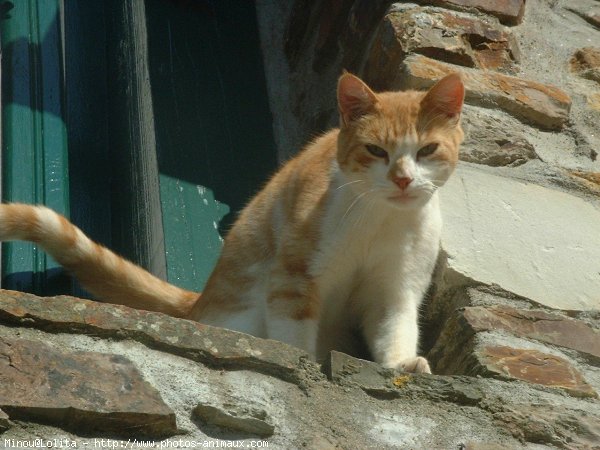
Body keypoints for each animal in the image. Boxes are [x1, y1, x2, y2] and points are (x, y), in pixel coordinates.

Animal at [0, 72, 464, 374]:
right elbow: (293, 338)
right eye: (375, 151)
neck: (381, 219)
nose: (402, 179)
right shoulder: (292, 280)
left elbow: (395, 328)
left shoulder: (395, 288)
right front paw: (305, 365)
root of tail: (200, 300)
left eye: (426, 150)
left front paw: (401, 363)